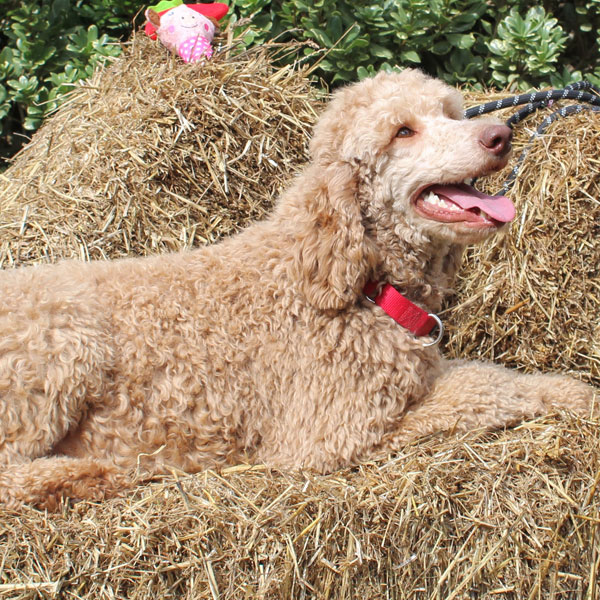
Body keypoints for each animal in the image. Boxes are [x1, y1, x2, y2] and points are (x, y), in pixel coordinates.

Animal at [0, 71, 596, 510]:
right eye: (402, 132)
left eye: (451, 113)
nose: (500, 136)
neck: (360, 281)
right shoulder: (333, 434)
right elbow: (483, 388)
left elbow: (493, 376)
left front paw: (570, 393)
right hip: (62, 345)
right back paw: (79, 475)